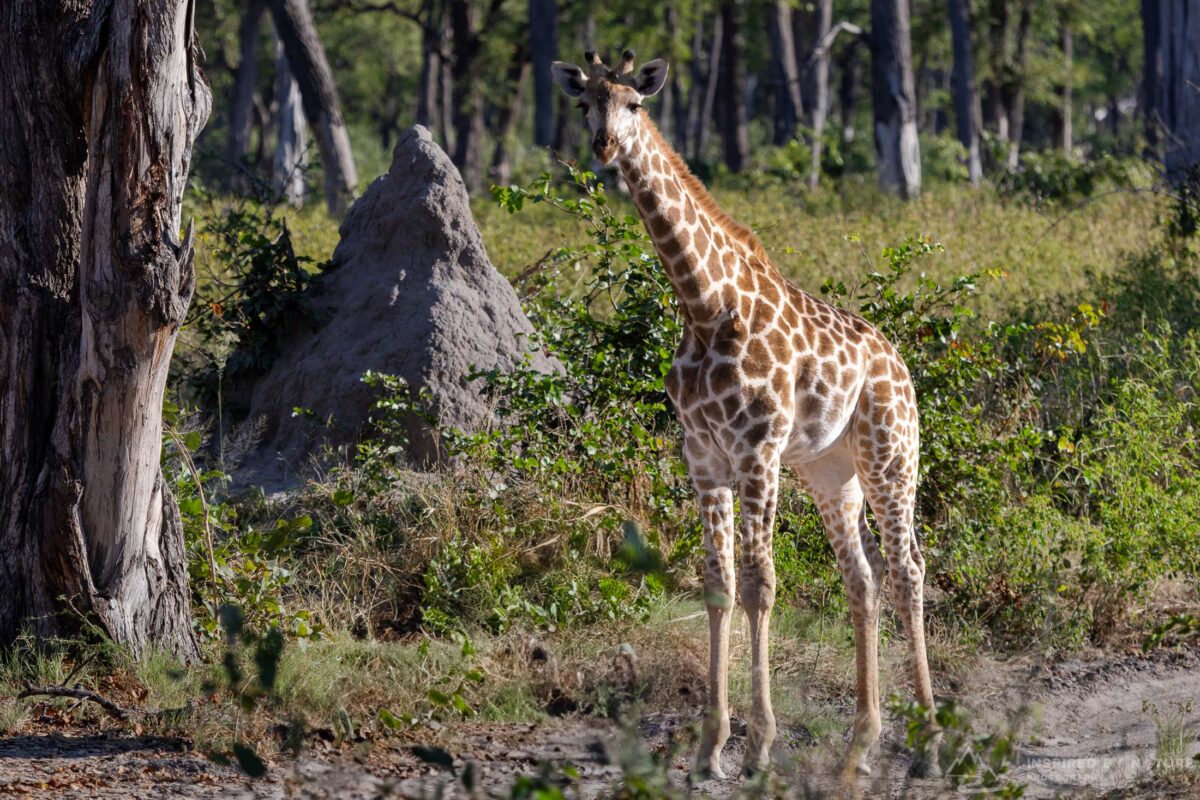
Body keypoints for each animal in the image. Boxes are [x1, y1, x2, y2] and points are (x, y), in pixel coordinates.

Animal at [550, 50, 939, 779]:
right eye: (584, 104)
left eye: (635, 103)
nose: (604, 147)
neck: (704, 307)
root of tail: (899, 361)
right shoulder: (704, 459)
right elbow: (719, 585)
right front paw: (709, 748)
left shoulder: (757, 452)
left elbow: (761, 585)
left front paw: (758, 746)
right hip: (830, 471)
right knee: (863, 580)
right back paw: (860, 746)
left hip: (890, 456)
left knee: (908, 571)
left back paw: (929, 747)